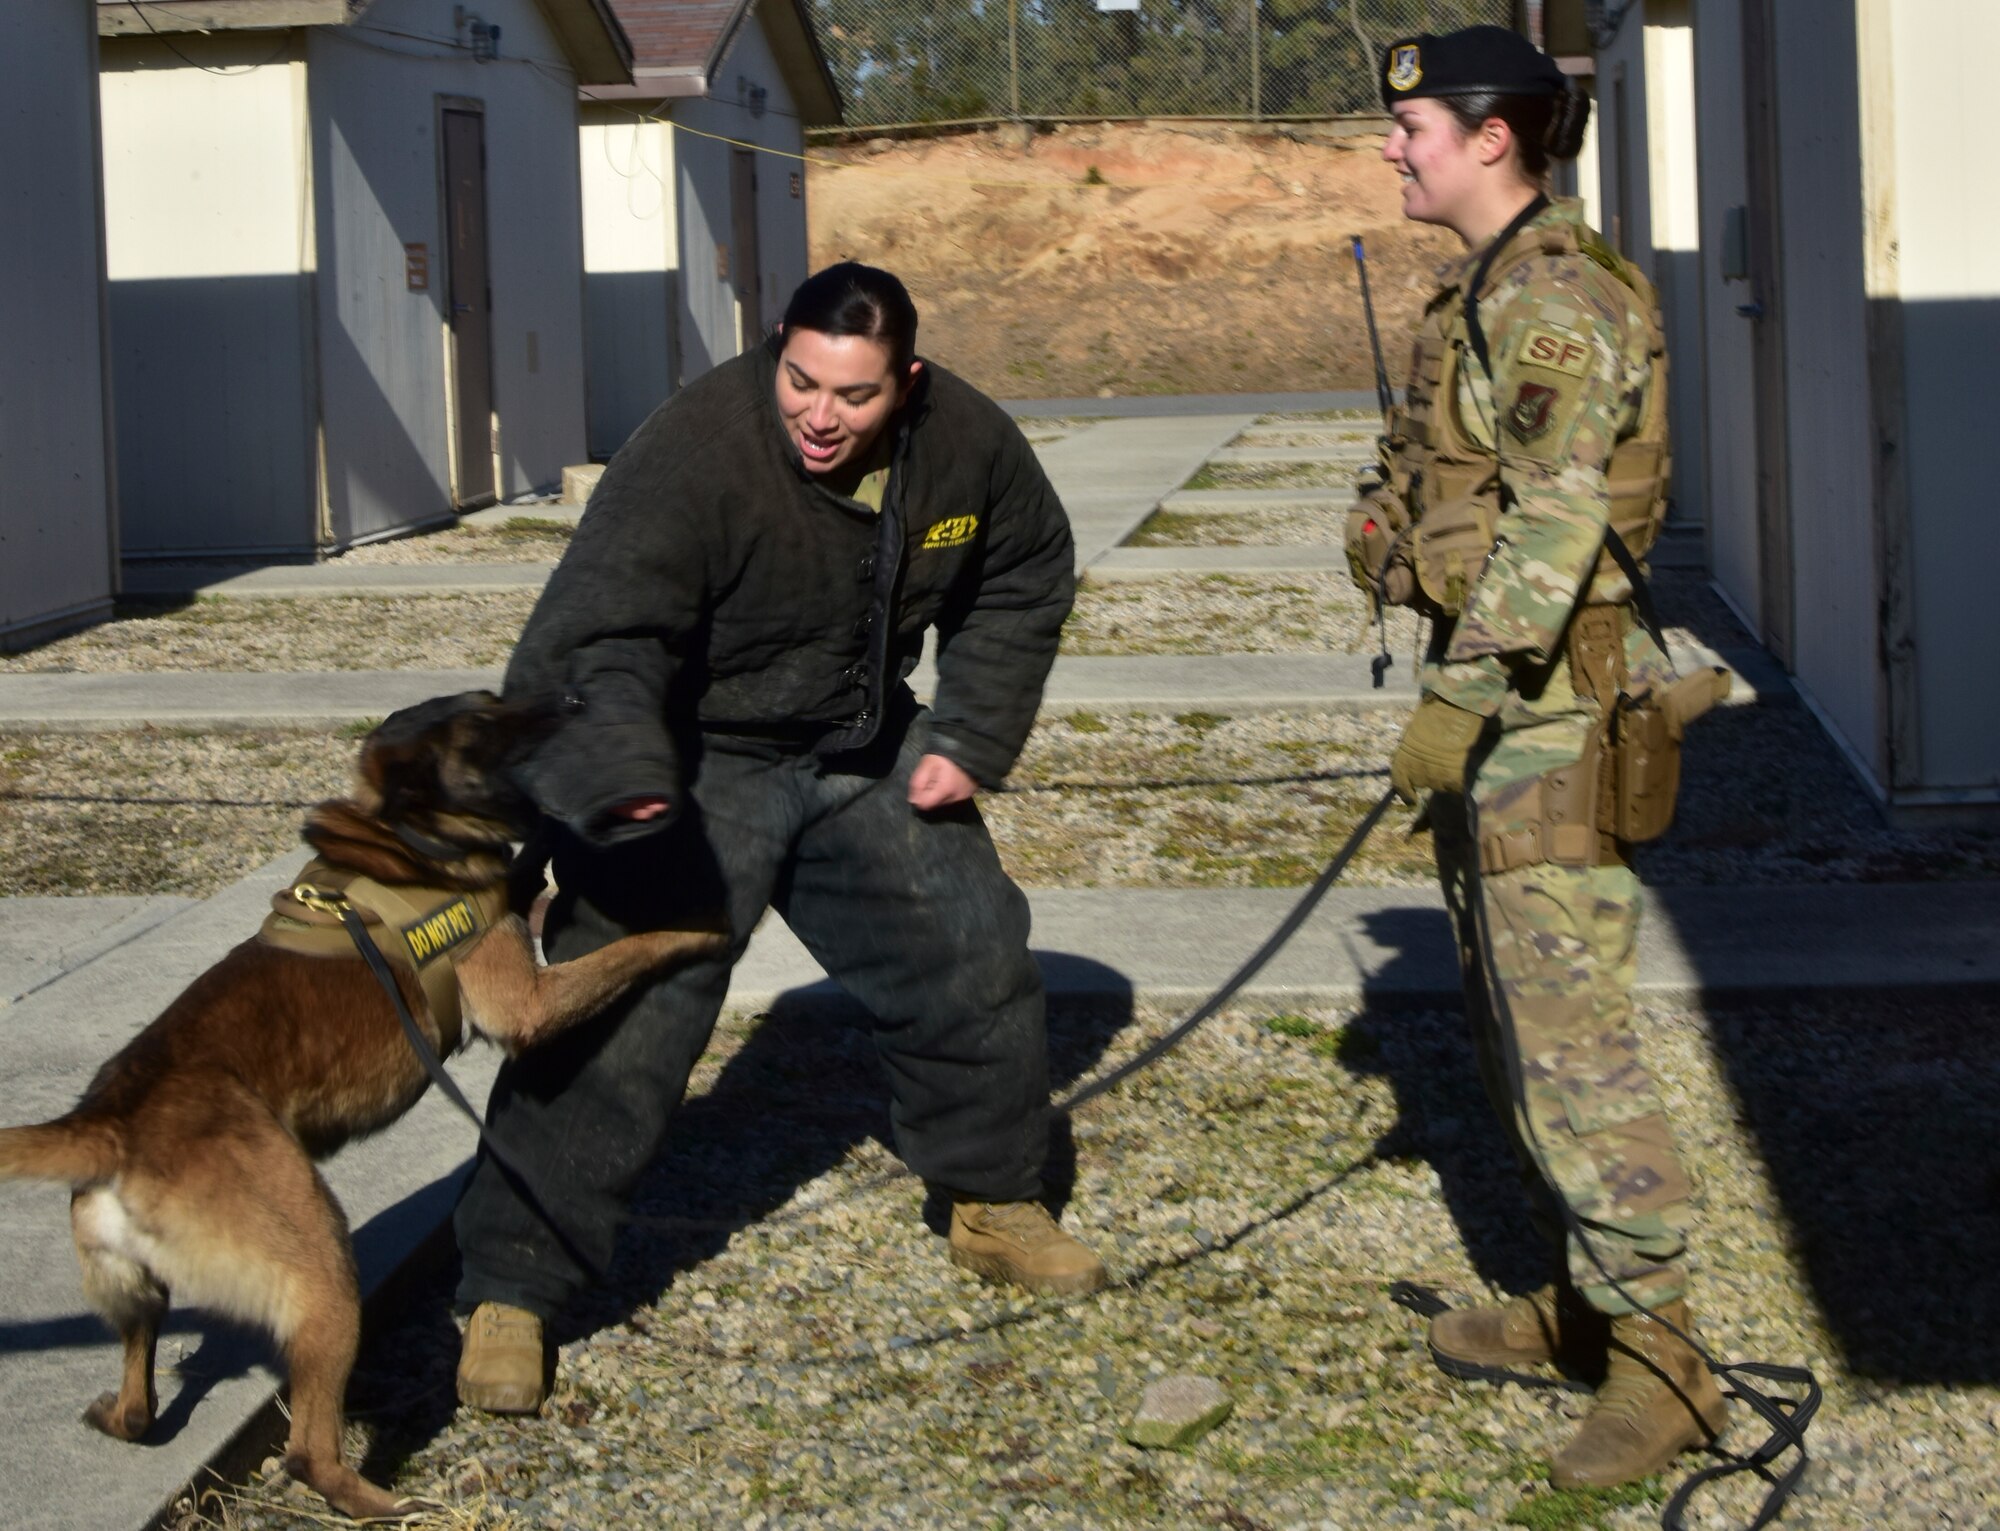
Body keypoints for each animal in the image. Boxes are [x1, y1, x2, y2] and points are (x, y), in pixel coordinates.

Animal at [0, 691, 720, 1519]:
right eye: (485, 721)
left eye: (495, 701)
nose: (571, 699)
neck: (402, 837)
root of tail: (112, 1118)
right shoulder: (528, 1005)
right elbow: (632, 947)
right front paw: (700, 930)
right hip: (324, 1272)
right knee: (307, 1450)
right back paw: (387, 1504)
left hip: (142, 1292)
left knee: (142, 1400)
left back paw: (119, 1415)